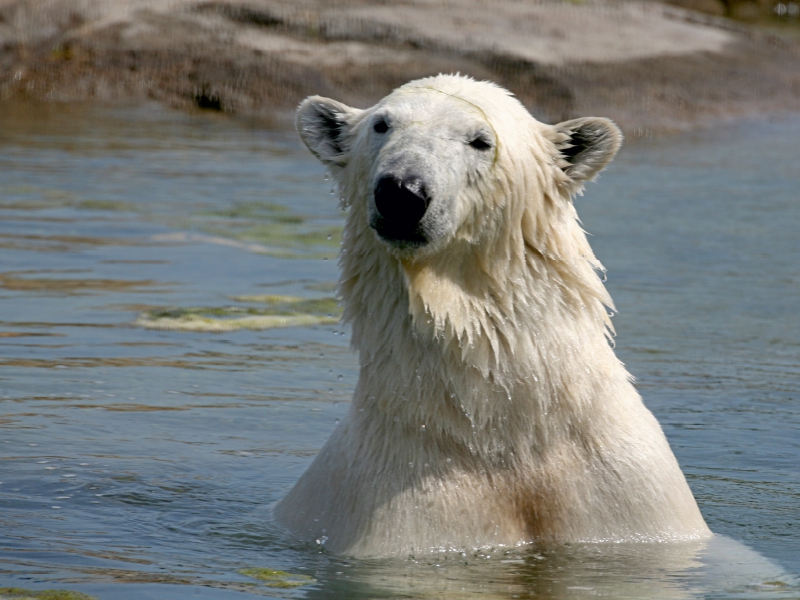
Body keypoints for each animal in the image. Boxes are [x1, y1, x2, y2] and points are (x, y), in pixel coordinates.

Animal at [274, 74, 708, 556]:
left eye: (480, 141)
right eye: (382, 125)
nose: (402, 192)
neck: (503, 433)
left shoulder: (628, 501)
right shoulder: (402, 513)